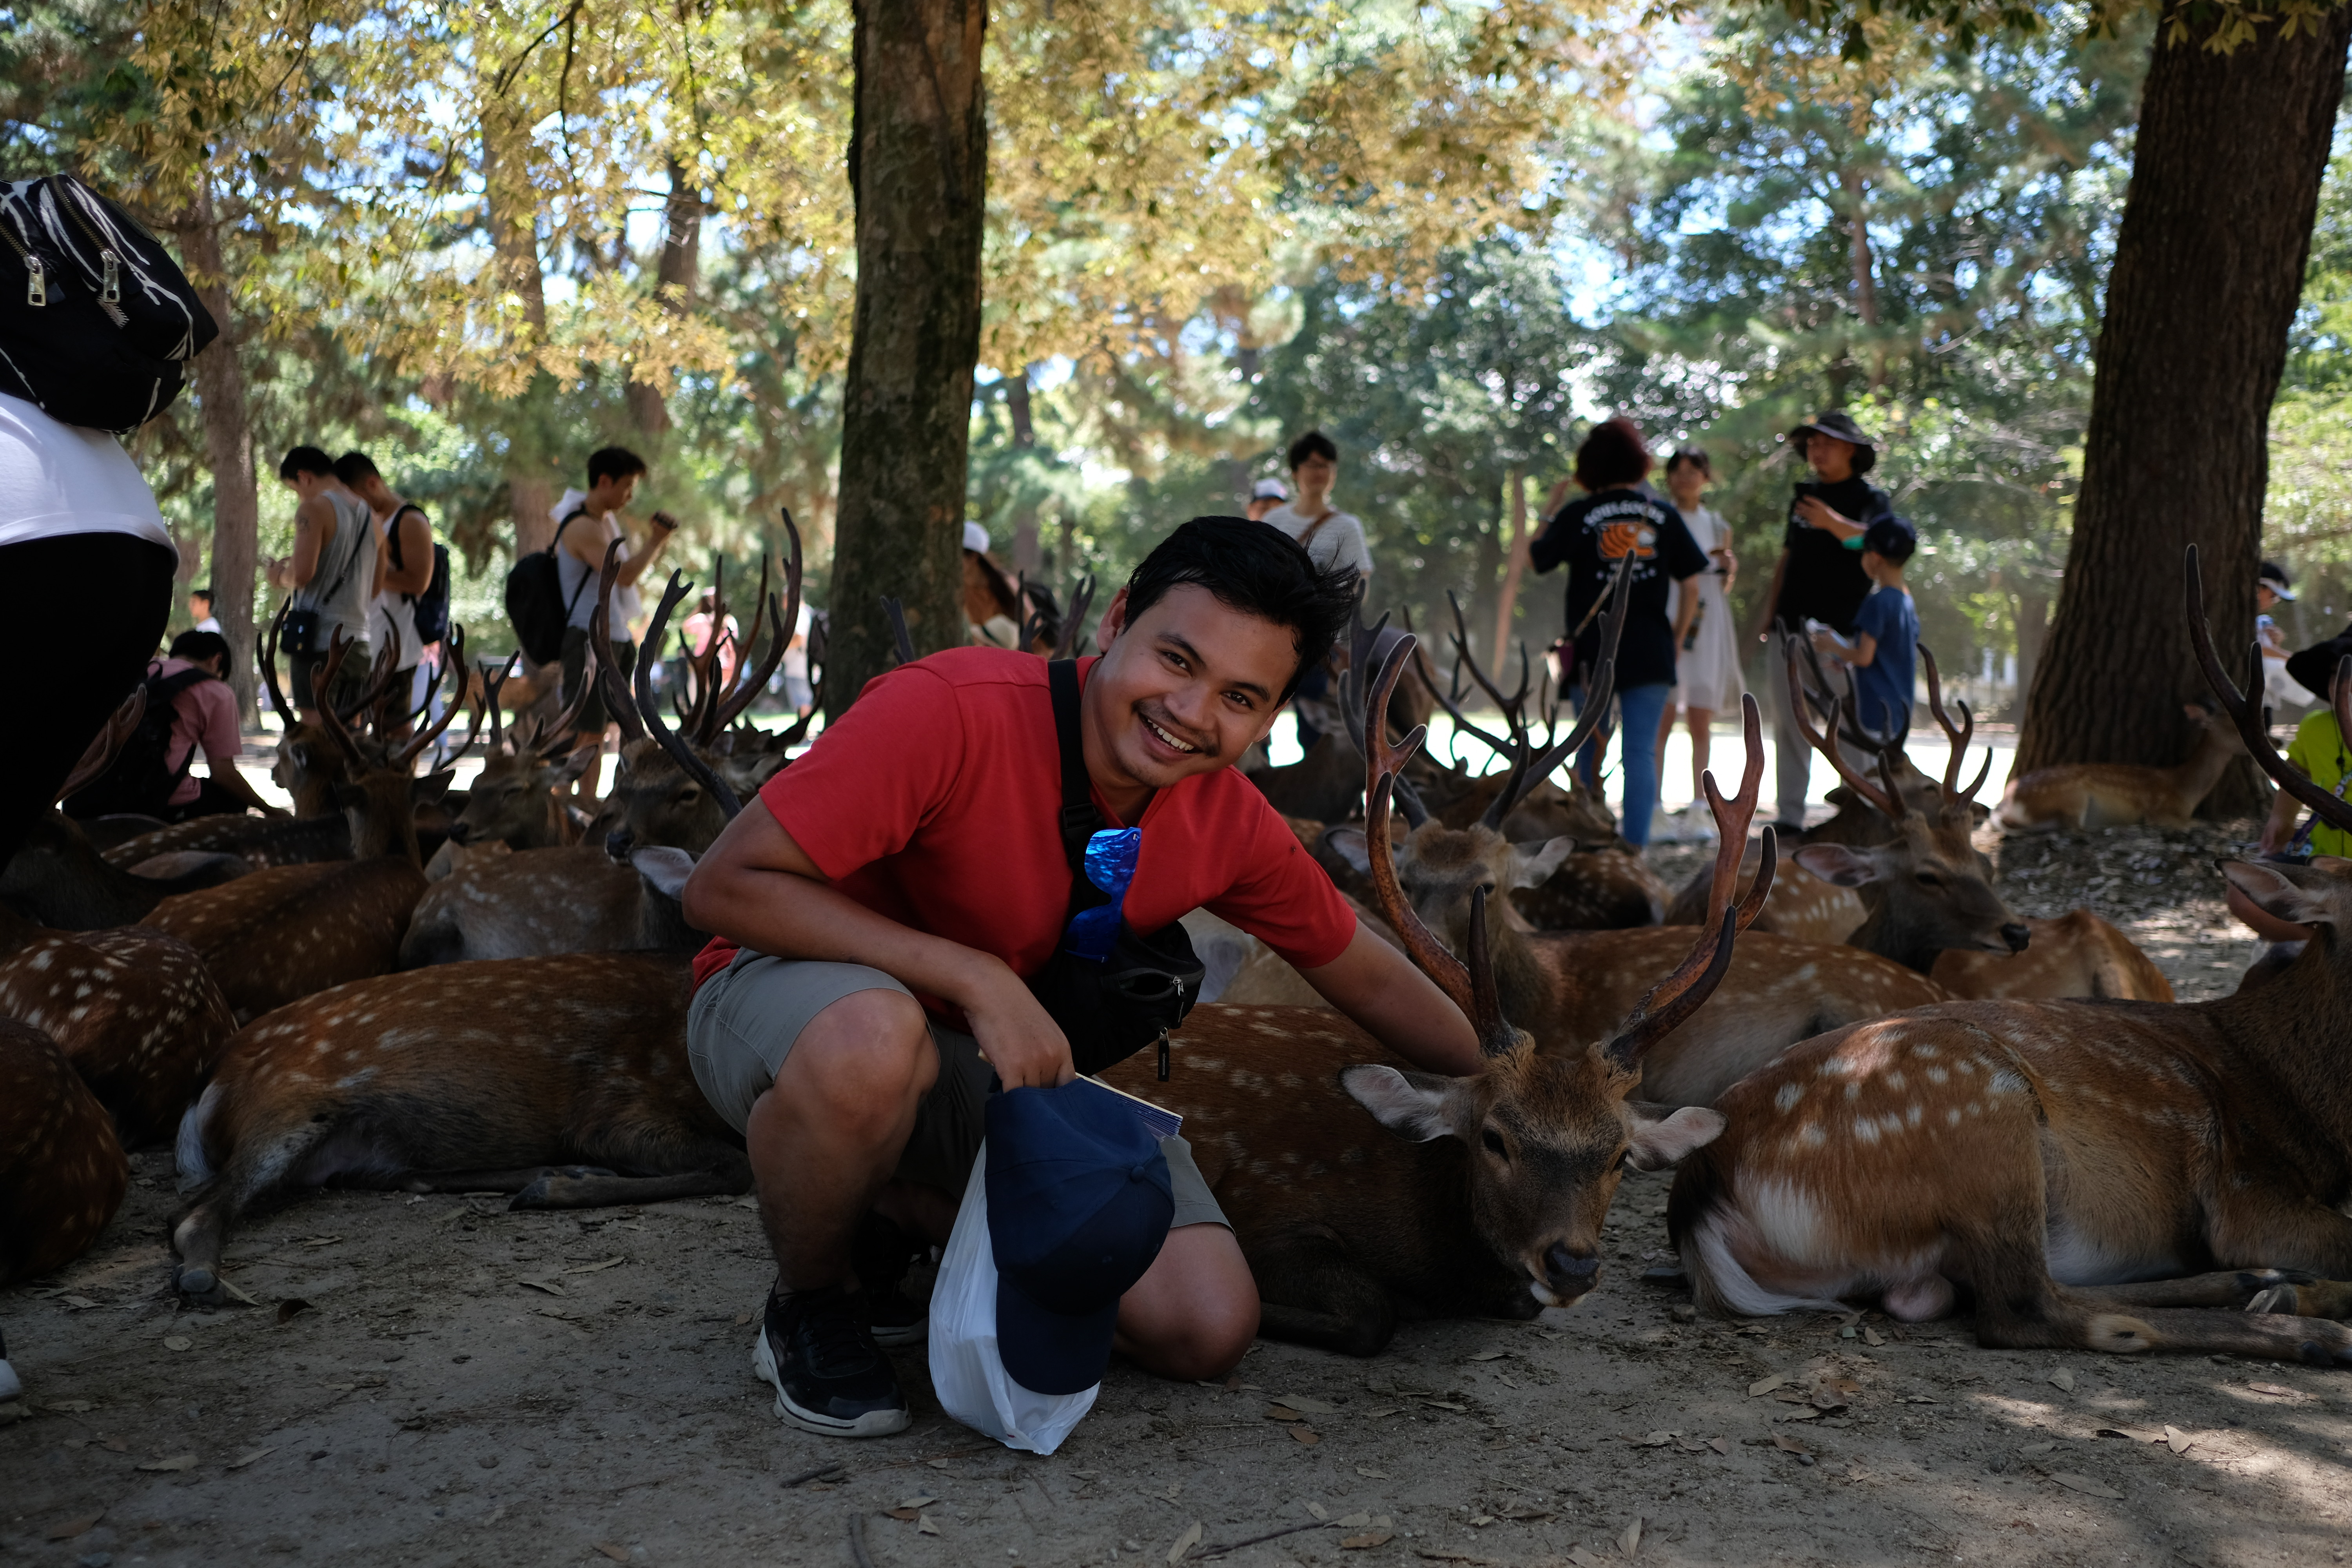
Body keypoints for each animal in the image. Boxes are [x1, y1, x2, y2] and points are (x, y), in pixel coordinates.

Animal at [1994, 701, 2249, 832]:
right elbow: (2194, 825)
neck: (2184, 791)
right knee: (2071, 826)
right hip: (2073, 797)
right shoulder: (2160, 812)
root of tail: (2006, 800)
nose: (2271, 741)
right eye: (2236, 725)